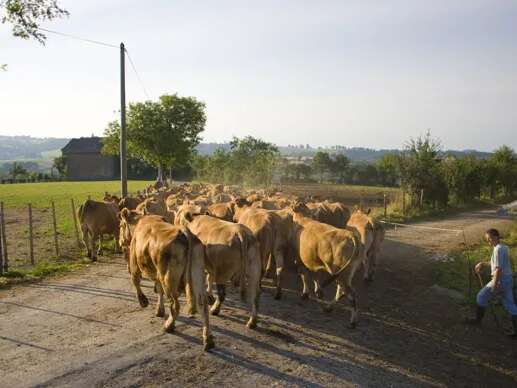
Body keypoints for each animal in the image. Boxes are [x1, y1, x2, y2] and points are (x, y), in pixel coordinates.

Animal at [119, 212, 214, 352]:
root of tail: (184, 232)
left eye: (120, 225)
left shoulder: (134, 264)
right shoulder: (158, 274)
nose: (120, 242)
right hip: (196, 274)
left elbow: (135, 281)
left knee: (175, 305)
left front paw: (143, 301)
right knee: (203, 306)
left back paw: (168, 326)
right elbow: (159, 290)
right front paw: (159, 310)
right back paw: (208, 340)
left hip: (168, 278)